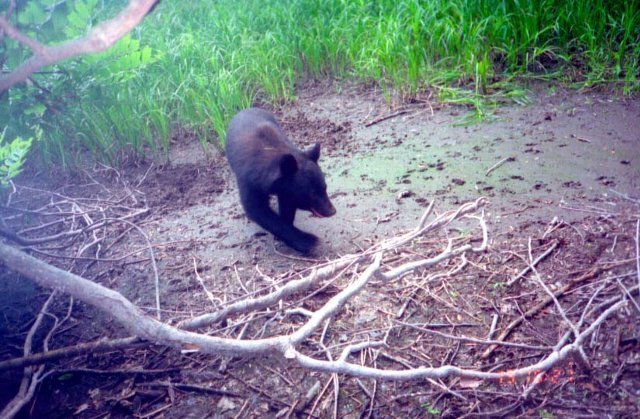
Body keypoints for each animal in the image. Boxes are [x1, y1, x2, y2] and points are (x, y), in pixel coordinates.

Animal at [225, 108, 336, 253]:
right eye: (312, 194)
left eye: (325, 187)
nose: (332, 211)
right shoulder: (249, 181)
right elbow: (256, 209)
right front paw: (308, 241)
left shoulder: (287, 190)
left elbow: (287, 206)